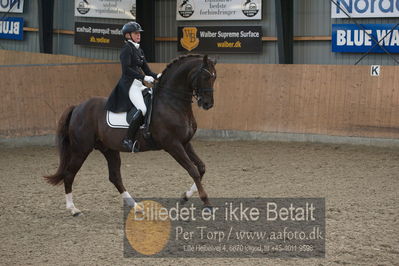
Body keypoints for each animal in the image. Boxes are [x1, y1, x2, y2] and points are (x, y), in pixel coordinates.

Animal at [45, 54, 217, 216]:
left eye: (214, 77)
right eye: (205, 77)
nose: (208, 104)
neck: (171, 102)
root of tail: (77, 107)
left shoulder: (185, 142)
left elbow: (201, 168)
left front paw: (185, 196)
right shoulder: (173, 145)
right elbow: (193, 170)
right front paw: (206, 202)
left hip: (109, 149)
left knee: (114, 177)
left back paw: (136, 206)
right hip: (81, 150)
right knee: (69, 174)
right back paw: (73, 209)